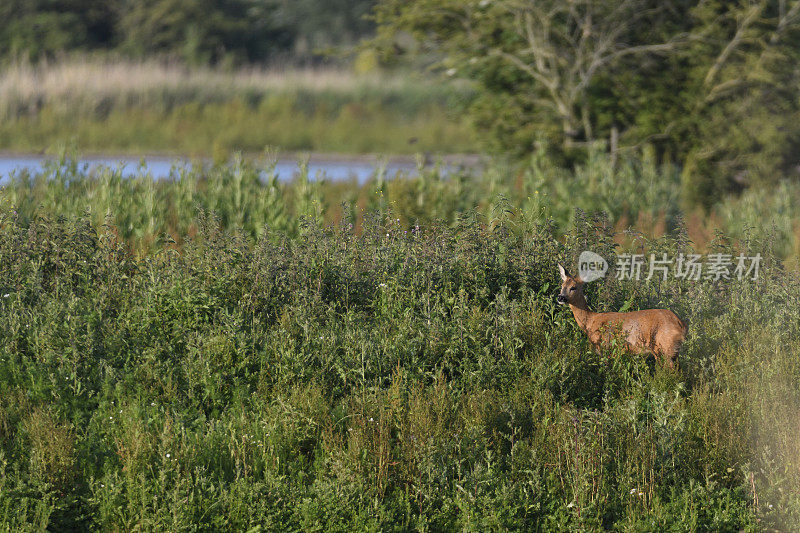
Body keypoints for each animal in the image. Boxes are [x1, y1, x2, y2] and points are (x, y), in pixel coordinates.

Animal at [556, 264, 688, 368]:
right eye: (562, 286)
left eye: (573, 287)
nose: (560, 297)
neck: (590, 322)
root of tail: (681, 324)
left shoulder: (607, 348)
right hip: (673, 352)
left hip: (663, 349)